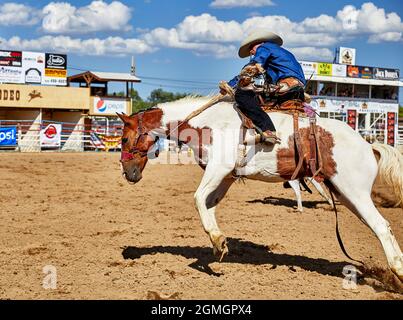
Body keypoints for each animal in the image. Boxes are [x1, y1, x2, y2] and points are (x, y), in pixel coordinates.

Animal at [117, 95, 403, 280]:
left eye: (123, 138)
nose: (128, 173)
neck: (209, 123)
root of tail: (368, 145)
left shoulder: (218, 168)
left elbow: (198, 198)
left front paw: (216, 239)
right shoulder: (227, 176)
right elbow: (208, 204)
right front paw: (218, 243)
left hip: (354, 191)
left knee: (381, 226)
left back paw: (397, 273)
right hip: (347, 195)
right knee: (380, 228)